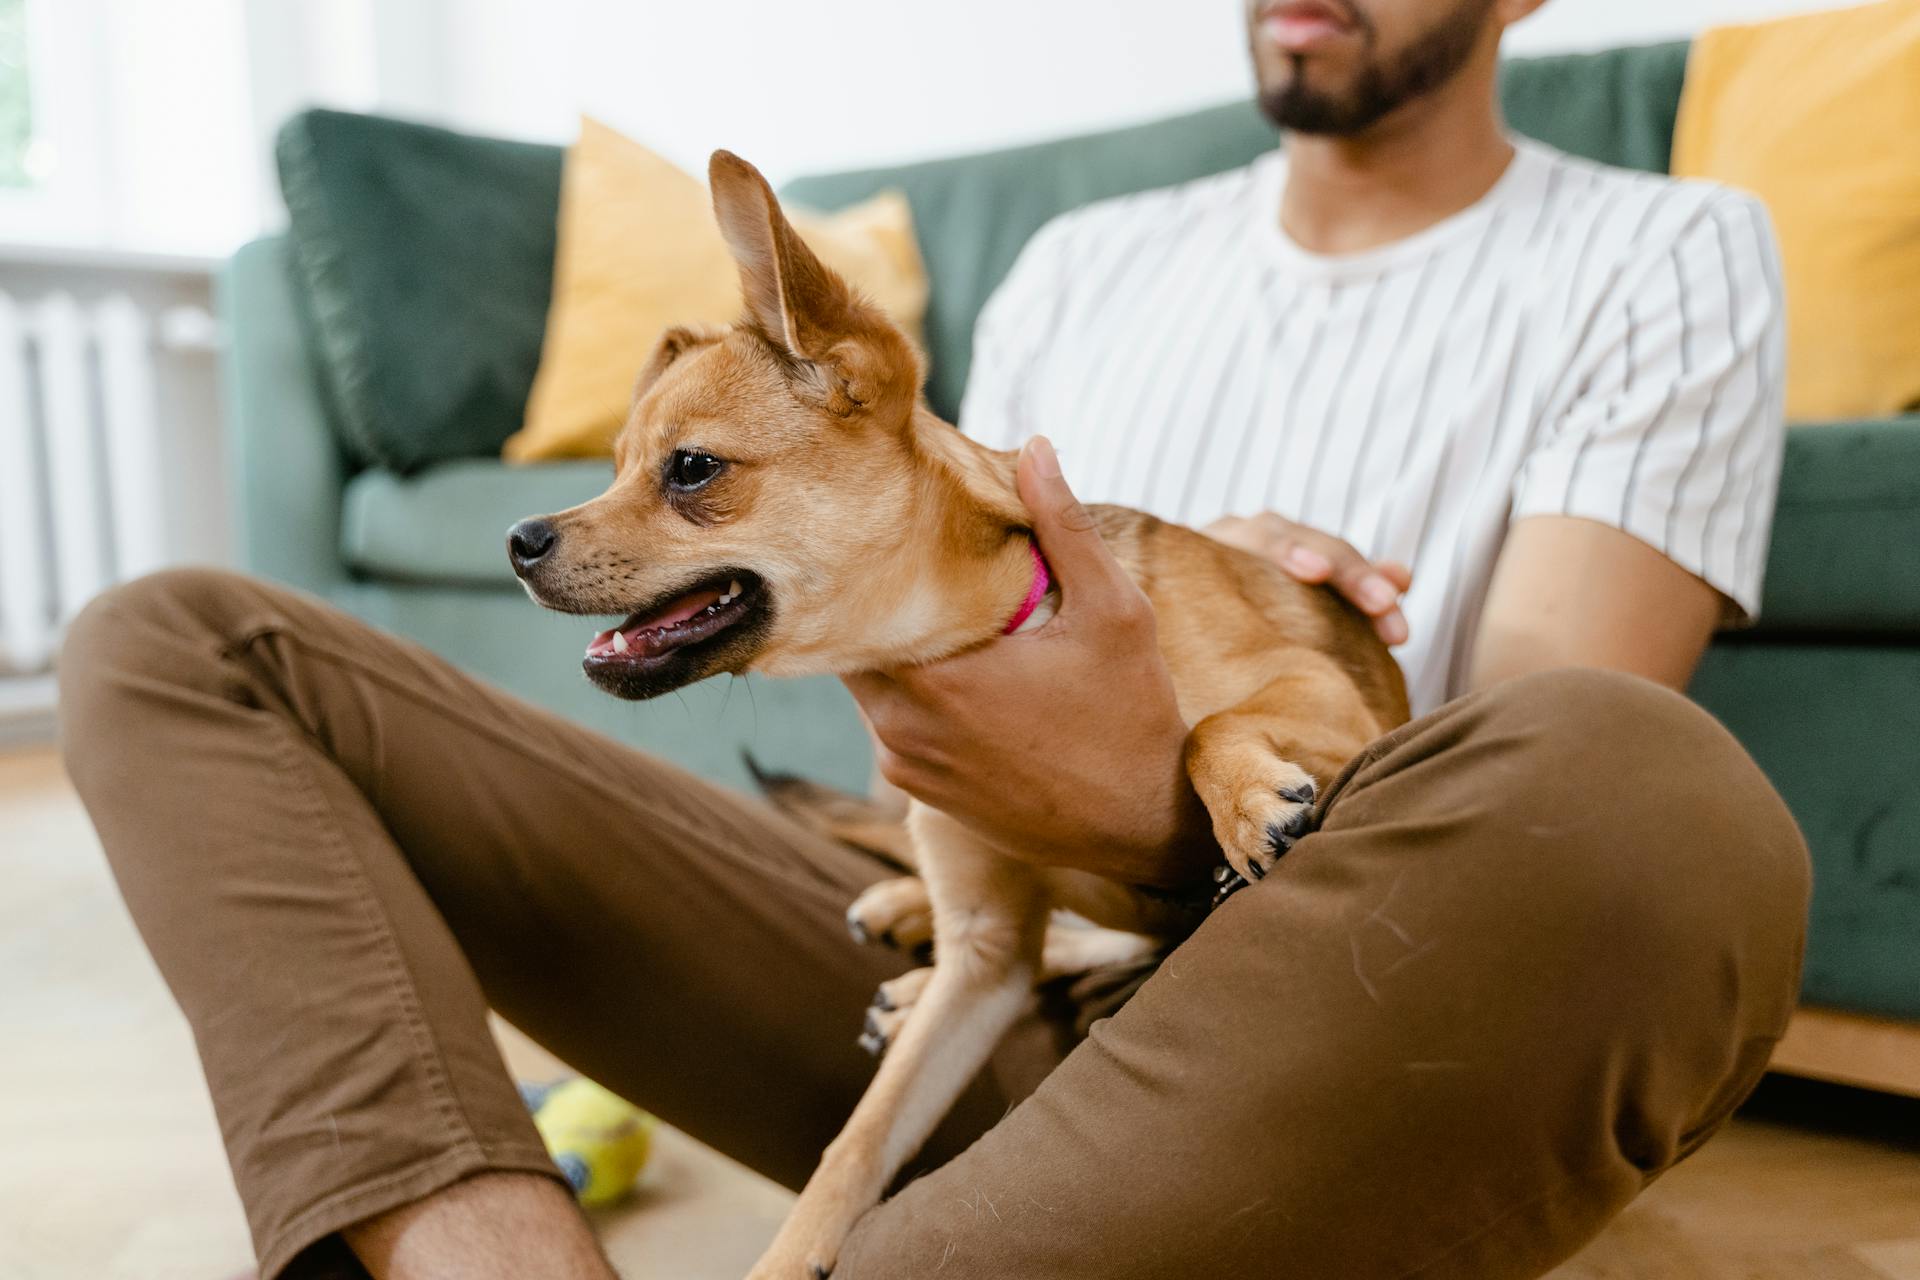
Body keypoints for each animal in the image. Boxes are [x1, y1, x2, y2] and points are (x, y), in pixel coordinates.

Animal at [510, 152, 1413, 1280]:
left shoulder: (1323, 693)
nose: (518, 539)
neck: (987, 636)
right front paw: (790, 1254)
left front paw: (1247, 801)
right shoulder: (981, 962)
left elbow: (1207, 729)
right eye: (616, 466)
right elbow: (859, 1141)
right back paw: (909, 936)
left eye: (691, 470)